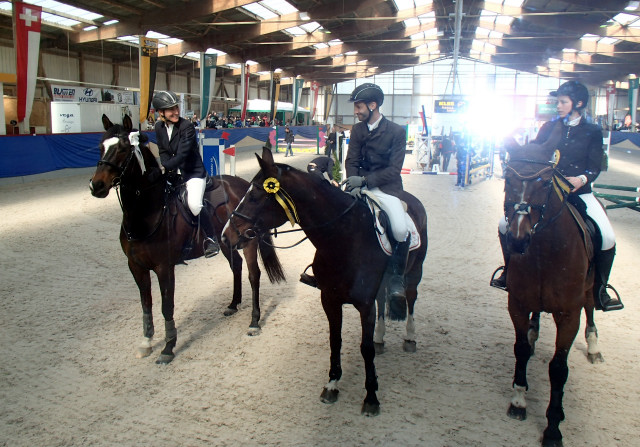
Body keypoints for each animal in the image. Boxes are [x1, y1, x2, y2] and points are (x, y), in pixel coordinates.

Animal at [89, 114, 284, 364]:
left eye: (124, 148)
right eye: (101, 146)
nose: (96, 186)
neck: (147, 213)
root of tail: (244, 185)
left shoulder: (164, 267)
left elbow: (166, 306)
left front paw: (168, 348)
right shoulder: (136, 266)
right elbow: (146, 304)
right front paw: (146, 342)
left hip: (248, 242)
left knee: (253, 275)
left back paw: (254, 322)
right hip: (225, 241)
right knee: (236, 266)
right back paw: (233, 304)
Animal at [222, 148, 428, 416]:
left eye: (255, 196)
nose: (226, 236)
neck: (343, 239)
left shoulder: (364, 305)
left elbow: (365, 348)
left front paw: (371, 397)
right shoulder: (329, 299)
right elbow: (335, 341)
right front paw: (332, 384)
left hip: (415, 272)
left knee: (411, 298)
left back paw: (410, 338)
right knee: (383, 300)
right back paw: (381, 337)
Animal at [500, 131, 604, 446]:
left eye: (546, 182)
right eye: (508, 178)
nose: (517, 240)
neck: (544, 252)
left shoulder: (569, 314)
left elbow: (558, 368)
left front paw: (553, 427)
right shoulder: (518, 303)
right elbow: (520, 349)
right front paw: (518, 401)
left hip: (589, 290)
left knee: (591, 306)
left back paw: (594, 346)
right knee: (536, 319)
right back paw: (535, 333)